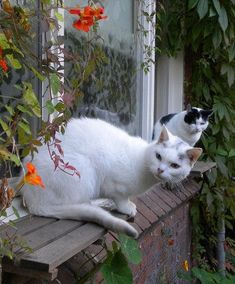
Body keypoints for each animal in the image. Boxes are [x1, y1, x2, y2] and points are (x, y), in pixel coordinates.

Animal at [22, 117, 202, 237]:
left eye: (174, 166)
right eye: (158, 156)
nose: (160, 170)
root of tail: (32, 201)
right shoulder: (113, 183)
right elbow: (120, 198)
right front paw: (127, 207)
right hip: (83, 169)